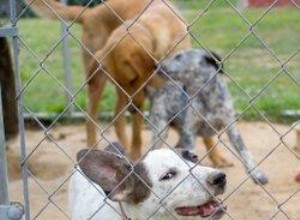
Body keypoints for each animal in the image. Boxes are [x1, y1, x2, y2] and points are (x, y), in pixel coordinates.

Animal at [149, 49, 268, 185]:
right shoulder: (190, 132)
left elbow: (244, 151)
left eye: (178, 56)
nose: (156, 65)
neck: (205, 95)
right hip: (160, 129)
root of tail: (157, 91)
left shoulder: (232, 128)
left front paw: (257, 174)